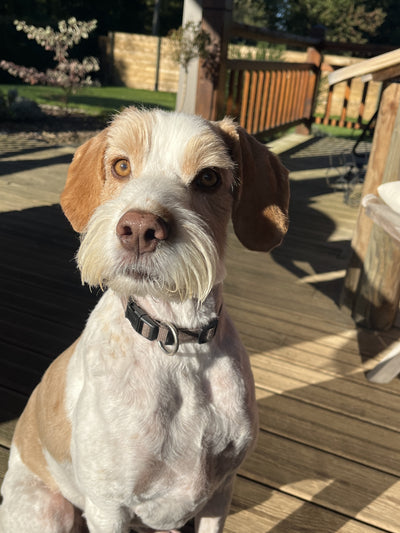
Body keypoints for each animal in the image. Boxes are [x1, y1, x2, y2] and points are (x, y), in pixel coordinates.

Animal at [0, 108, 290, 532]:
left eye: (209, 177)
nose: (139, 228)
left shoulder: (220, 492)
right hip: (49, 511)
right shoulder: (108, 507)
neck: (177, 344)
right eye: (121, 166)